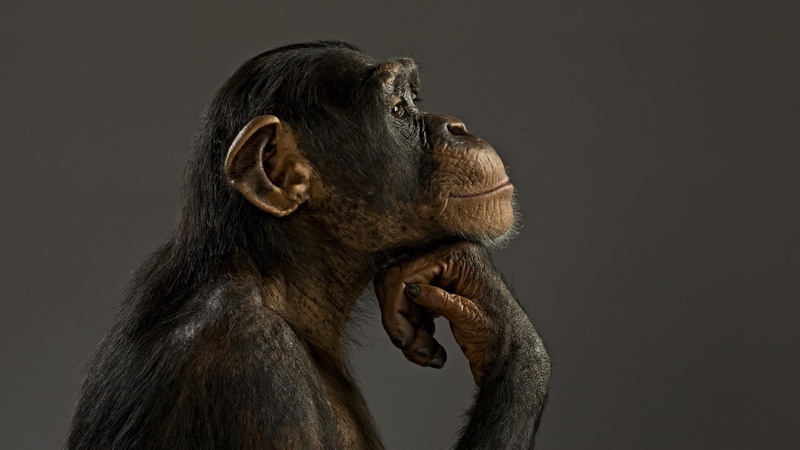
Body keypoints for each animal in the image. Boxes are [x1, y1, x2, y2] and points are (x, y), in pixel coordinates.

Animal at [67, 40, 550, 449]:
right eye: (397, 109)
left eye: (414, 99)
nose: (457, 126)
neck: (277, 279)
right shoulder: (255, 371)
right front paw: (501, 320)